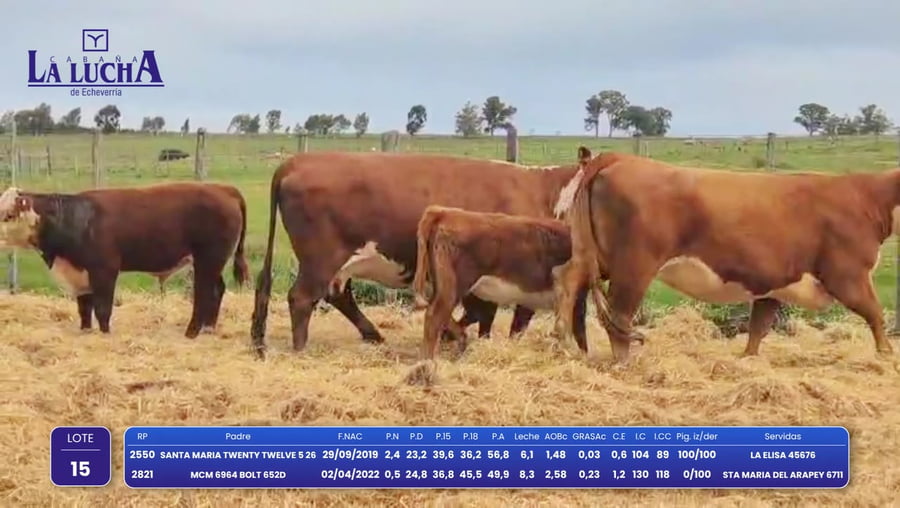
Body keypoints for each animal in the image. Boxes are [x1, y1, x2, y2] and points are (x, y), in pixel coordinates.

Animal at [0, 182, 248, 337]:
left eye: (9, 215)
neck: (76, 219)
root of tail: (222, 188)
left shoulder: (105, 270)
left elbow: (102, 308)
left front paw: (105, 335)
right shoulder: (80, 274)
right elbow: (84, 308)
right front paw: (86, 332)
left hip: (208, 259)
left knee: (204, 293)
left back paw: (192, 332)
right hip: (213, 262)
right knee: (217, 289)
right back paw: (208, 329)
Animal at [411, 205, 589, 361]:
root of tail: (443, 212)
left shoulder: (529, 301)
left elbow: (517, 328)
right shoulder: (576, 296)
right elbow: (579, 329)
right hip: (453, 286)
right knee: (434, 316)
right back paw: (427, 360)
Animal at [554, 147, 900, 364]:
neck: (867, 198)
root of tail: (618, 157)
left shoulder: (772, 282)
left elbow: (759, 326)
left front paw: (747, 359)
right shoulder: (848, 274)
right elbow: (876, 313)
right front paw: (886, 356)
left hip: (592, 255)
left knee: (570, 281)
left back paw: (563, 342)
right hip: (634, 266)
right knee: (620, 312)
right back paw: (623, 361)